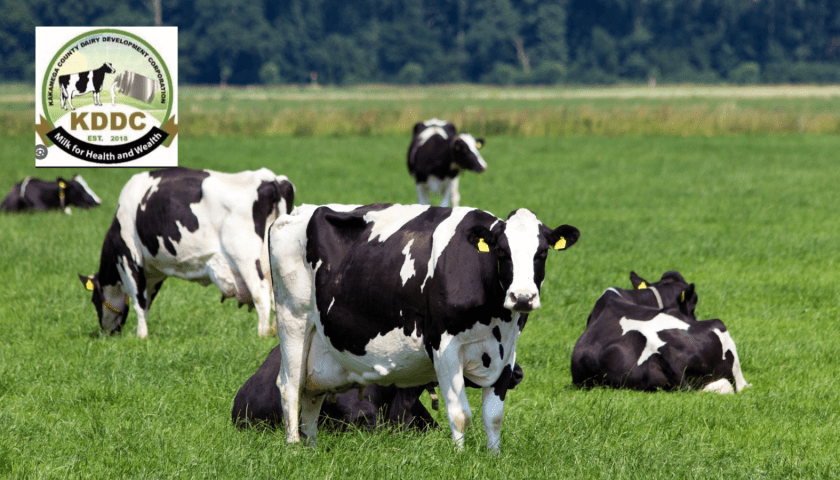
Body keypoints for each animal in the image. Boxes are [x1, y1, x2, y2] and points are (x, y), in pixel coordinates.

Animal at [78, 167, 294, 338]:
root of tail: (271, 179)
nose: (106, 333)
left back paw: (262, 334)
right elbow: (147, 301)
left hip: (244, 257)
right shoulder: (154, 271)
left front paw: (141, 335)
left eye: (94, 299)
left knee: (261, 293)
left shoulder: (129, 258)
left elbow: (139, 299)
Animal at [269, 203, 579, 453]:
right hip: (293, 320)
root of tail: (295, 213)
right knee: (290, 386)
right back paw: (294, 448)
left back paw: (311, 447)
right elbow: (460, 414)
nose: (523, 297)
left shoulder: (507, 350)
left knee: (311, 394)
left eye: (542, 253)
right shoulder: (444, 346)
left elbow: (493, 416)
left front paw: (494, 457)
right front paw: (460, 457)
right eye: (502, 251)